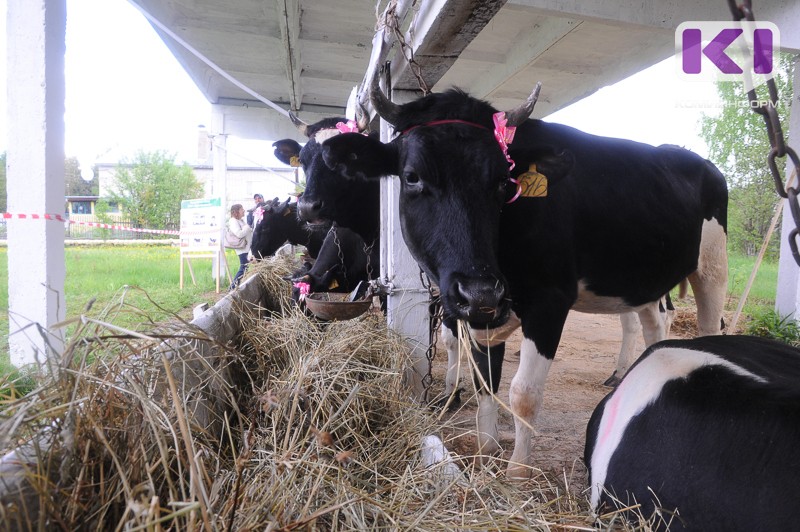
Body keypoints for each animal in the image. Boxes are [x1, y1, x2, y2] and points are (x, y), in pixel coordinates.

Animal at [322, 80, 728, 478]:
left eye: (504, 182)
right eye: (411, 177)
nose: (478, 291)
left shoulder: (549, 300)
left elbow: (523, 393)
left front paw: (517, 472)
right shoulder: (483, 307)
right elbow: (485, 380)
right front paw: (486, 451)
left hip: (712, 266)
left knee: (709, 325)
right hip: (643, 281)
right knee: (653, 324)